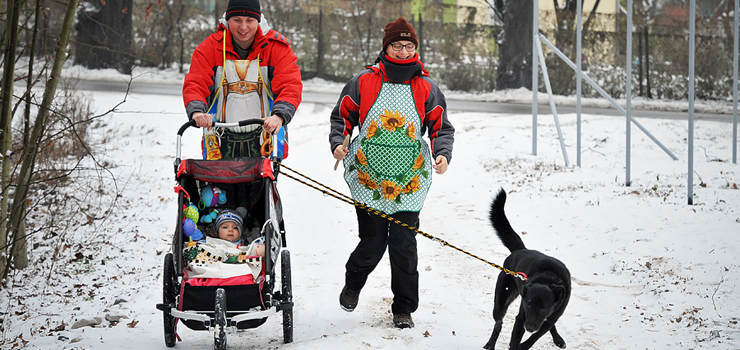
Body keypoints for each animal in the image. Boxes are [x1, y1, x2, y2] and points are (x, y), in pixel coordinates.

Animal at [486, 190, 572, 348]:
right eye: (529, 304)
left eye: (543, 307)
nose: (529, 327)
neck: (547, 278)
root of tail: (521, 250)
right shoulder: (521, 317)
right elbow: (515, 338)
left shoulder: (550, 318)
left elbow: (536, 336)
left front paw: (524, 345)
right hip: (501, 301)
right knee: (498, 323)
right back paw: (490, 344)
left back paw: (558, 339)